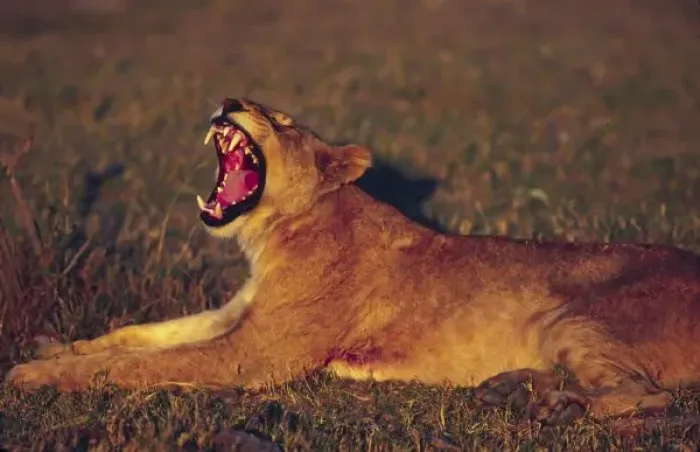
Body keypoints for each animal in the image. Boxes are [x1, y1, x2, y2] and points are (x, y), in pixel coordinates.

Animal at [6, 97, 700, 426]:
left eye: (279, 118)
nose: (230, 100)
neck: (273, 234)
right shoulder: (236, 316)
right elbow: (136, 335)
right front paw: (54, 348)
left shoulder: (252, 355)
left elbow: (139, 364)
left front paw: (33, 376)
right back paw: (510, 391)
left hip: (576, 319)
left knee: (648, 395)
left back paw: (560, 407)